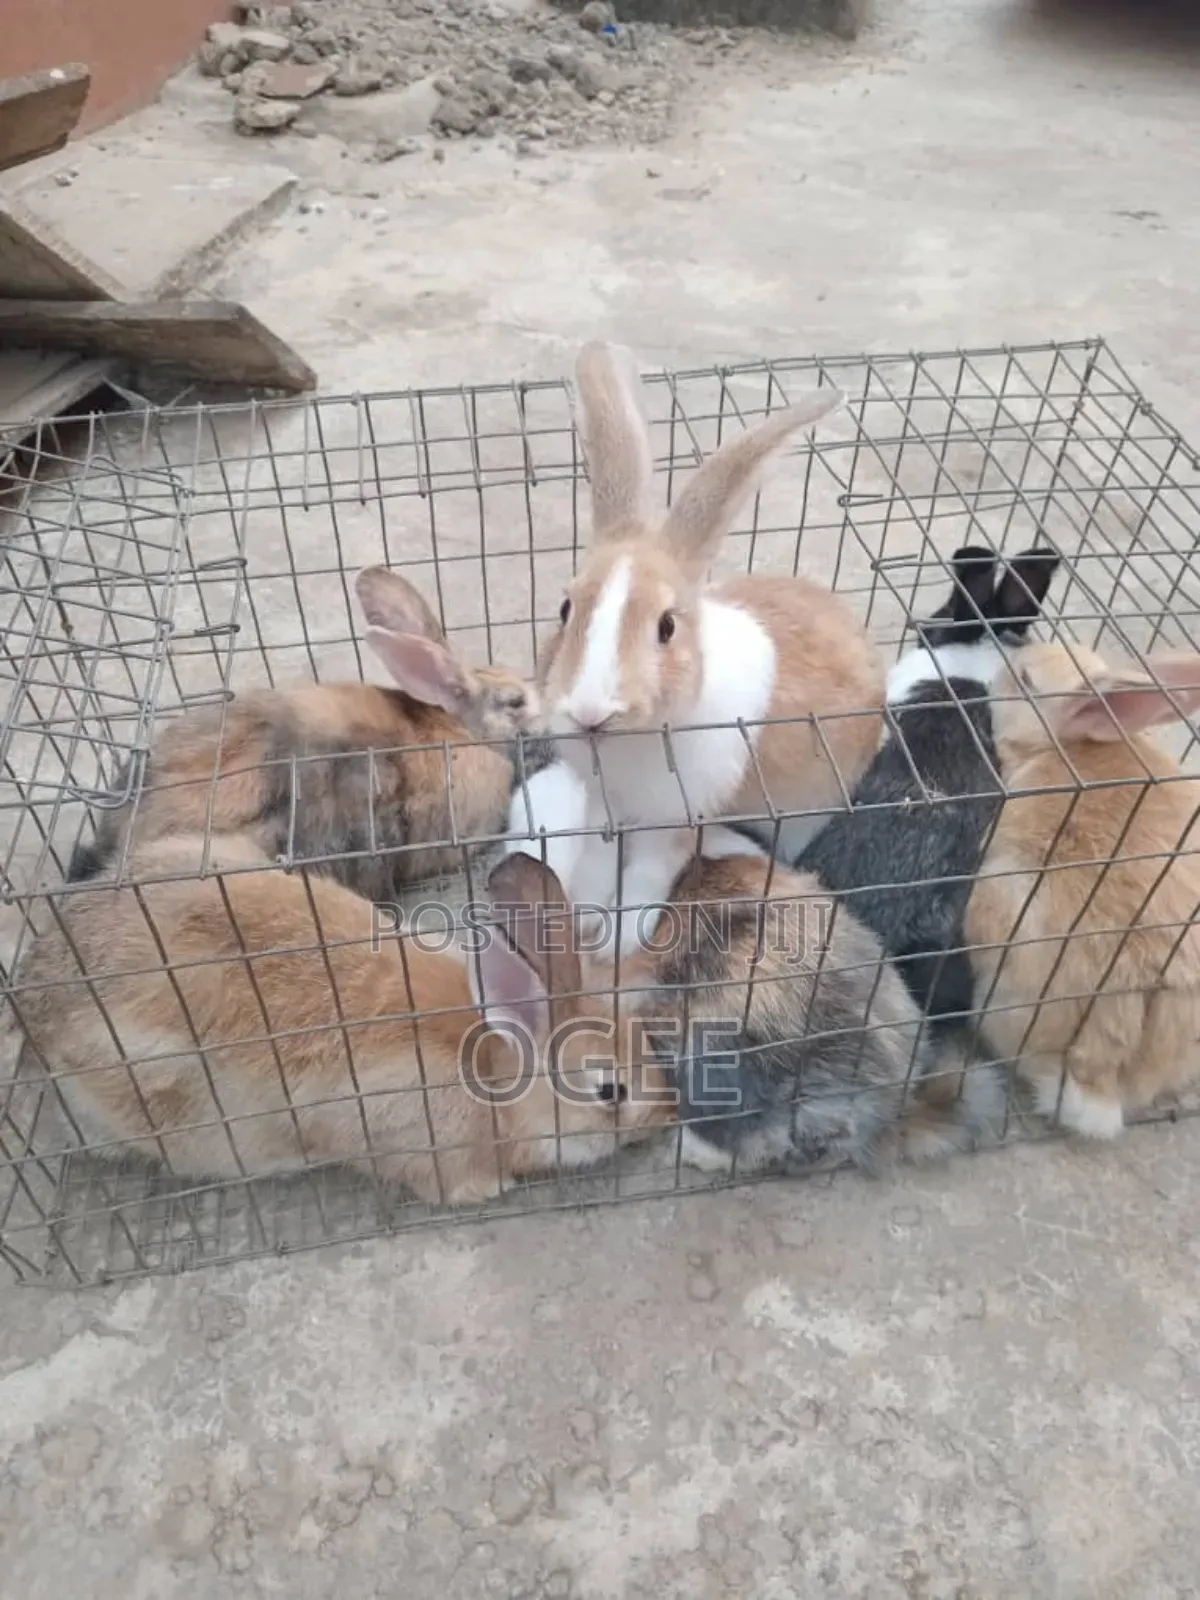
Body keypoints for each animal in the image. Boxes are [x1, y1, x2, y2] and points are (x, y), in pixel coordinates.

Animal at [535, 342, 885, 957]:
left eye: (667, 627)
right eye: (565, 608)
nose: (590, 712)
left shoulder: (673, 821)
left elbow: (645, 880)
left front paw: (617, 942)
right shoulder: (605, 808)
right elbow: (598, 866)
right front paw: (582, 918)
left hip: (810, 811)